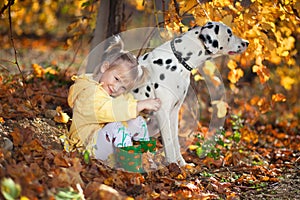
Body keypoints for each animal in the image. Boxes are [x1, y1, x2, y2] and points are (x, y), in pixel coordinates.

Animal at [132, 21, 250, 166]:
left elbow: (175, 141)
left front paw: (182, 165)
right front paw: (172, 165)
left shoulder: (174, 112)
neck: (177, 61)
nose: (247, 42)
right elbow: (169, 143)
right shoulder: (162, 112)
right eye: (229, 33)